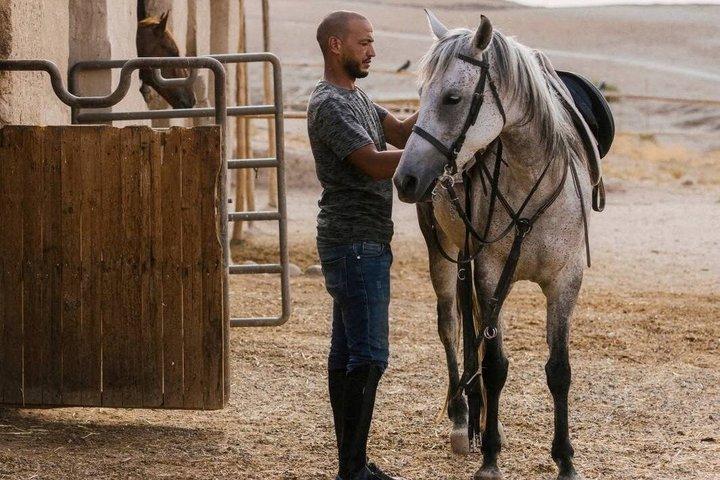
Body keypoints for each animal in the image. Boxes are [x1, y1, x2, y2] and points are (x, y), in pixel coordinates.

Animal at [393, 11, 603, 480]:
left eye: (452, 98)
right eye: (420, 93)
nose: (405, 179)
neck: (531, 178)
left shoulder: (565, 281)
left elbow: (559, 370)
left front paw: (565, 459)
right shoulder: (490, 273)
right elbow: (494, 367)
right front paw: (489, 456)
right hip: (442, 255)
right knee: (452, 328)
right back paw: (461, 416)